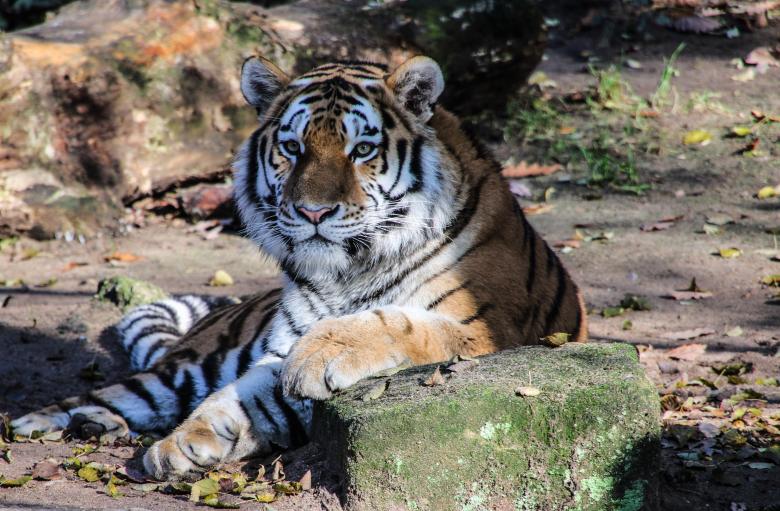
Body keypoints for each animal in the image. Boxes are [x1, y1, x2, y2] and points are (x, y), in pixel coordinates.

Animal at [11, 55, 587, 481]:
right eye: (292, 147)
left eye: (362, 150)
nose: (313, 212)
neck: (350, 270)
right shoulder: (275, 351)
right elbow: (237, 398)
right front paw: (185, 443)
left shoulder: (488, 332)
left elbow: (401, 323)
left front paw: (328, 349)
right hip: (186, 367)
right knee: (120, 394)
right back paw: (44, 422)